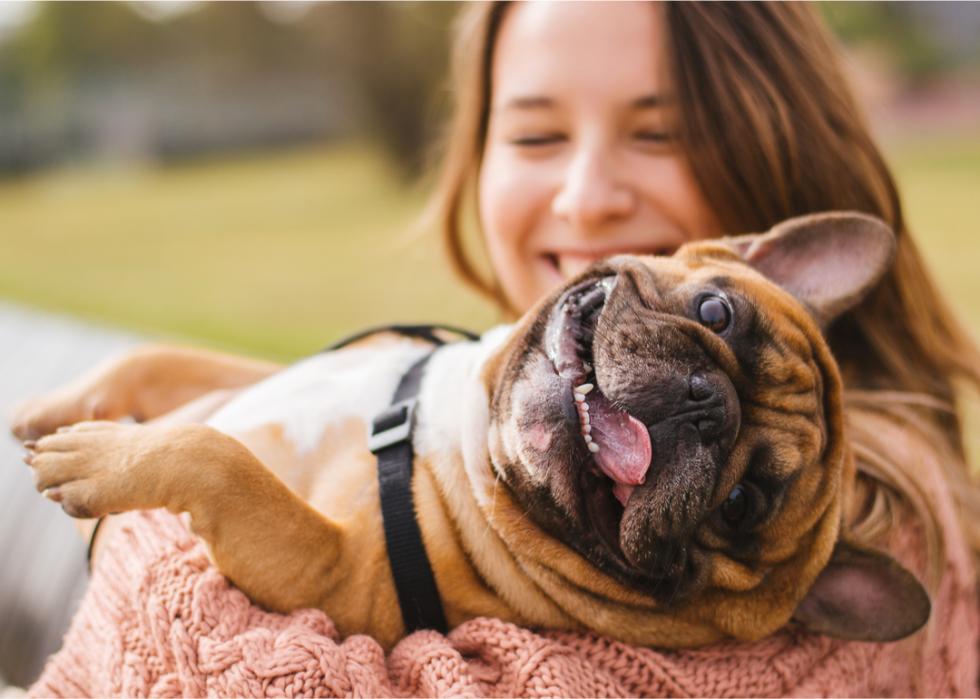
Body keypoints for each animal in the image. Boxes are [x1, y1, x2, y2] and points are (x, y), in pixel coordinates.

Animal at [17, 211, 936, 648]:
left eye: (743, 502)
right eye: (716, 311)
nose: (705, 402)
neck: (453, 429)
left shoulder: (328, 571)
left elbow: (218, 457)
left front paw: (95, 457)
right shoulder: (259, 377)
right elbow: (162, 360)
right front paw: (61, 406)